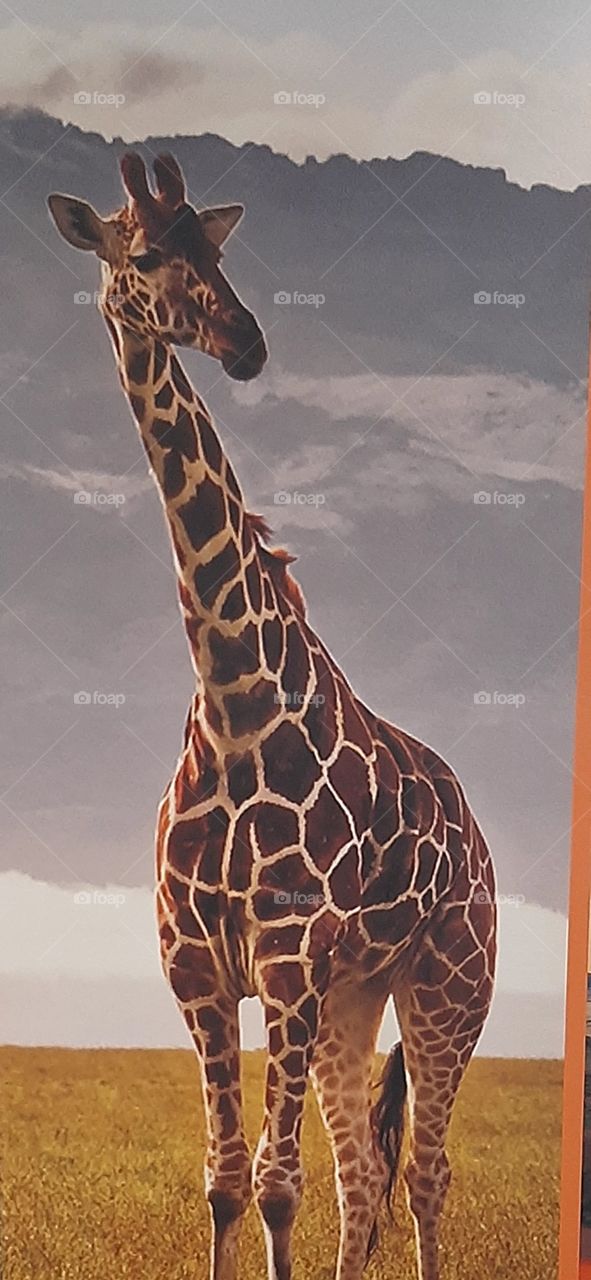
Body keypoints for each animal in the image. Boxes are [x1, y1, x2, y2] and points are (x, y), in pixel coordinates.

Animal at [48, 152, 496, 1280]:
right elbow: (225, 1182)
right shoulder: (200, 974)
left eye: (216, 252)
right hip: (353, 1000)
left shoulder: (287, 965)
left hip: (448, 986)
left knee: (424, 1176)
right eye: (144, 254)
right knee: (363, 1179)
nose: (247, 342)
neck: (237, 704)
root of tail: (477, 834)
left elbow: (276, 1185)